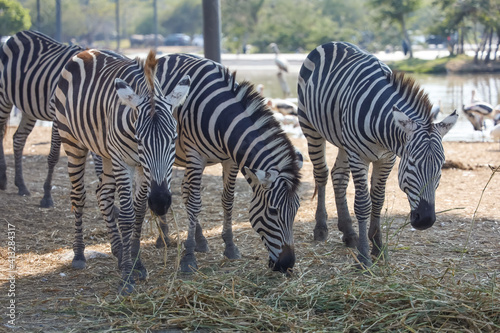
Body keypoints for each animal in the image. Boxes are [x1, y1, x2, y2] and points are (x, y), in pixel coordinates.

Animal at [0, 29, 85, 206]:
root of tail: (16, 35)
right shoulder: (58, 117)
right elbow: (53, 156)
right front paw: (46, 196)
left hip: (28, 107)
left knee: (18, 138)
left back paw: (21, 185)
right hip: (3, 96)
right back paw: (3, 179)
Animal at [53, 49, 189, 294]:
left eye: (174, 139)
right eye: (139, 139)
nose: (161, 202)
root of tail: (87, 51)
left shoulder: (140, 167)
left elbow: (140, 211)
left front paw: (136, 262)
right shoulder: (123, 161)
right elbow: (126, 216)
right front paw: (127, 276)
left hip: (106, 153)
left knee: (103, 194)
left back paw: (117, 250)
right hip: (73, 141)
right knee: (79, 196)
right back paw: (79, 255)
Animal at [155, 53, 300, 272]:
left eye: (296, 210)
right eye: (273, 211)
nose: (287, 265)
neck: (222, 118)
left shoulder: (231, 160)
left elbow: (228, 200)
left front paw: (230, 247)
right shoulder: (195, 155)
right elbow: (196, 203)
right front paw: (188, 258)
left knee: (185, 190)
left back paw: (199, 240)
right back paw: (163, 237)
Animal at [296, 42, 458, 268]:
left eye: (441, 165)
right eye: (412, 163)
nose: (425, 220)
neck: (383, 130)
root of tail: (333, 43)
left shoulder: (386, 158)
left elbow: (378, 199)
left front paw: (378, 246)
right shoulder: (358, 156)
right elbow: (364, 203)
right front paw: (364, 256)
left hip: (343, 141)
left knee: (339, 176)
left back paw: (349, 233)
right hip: (310, 127)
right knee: (321, 173)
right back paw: (321, 228)